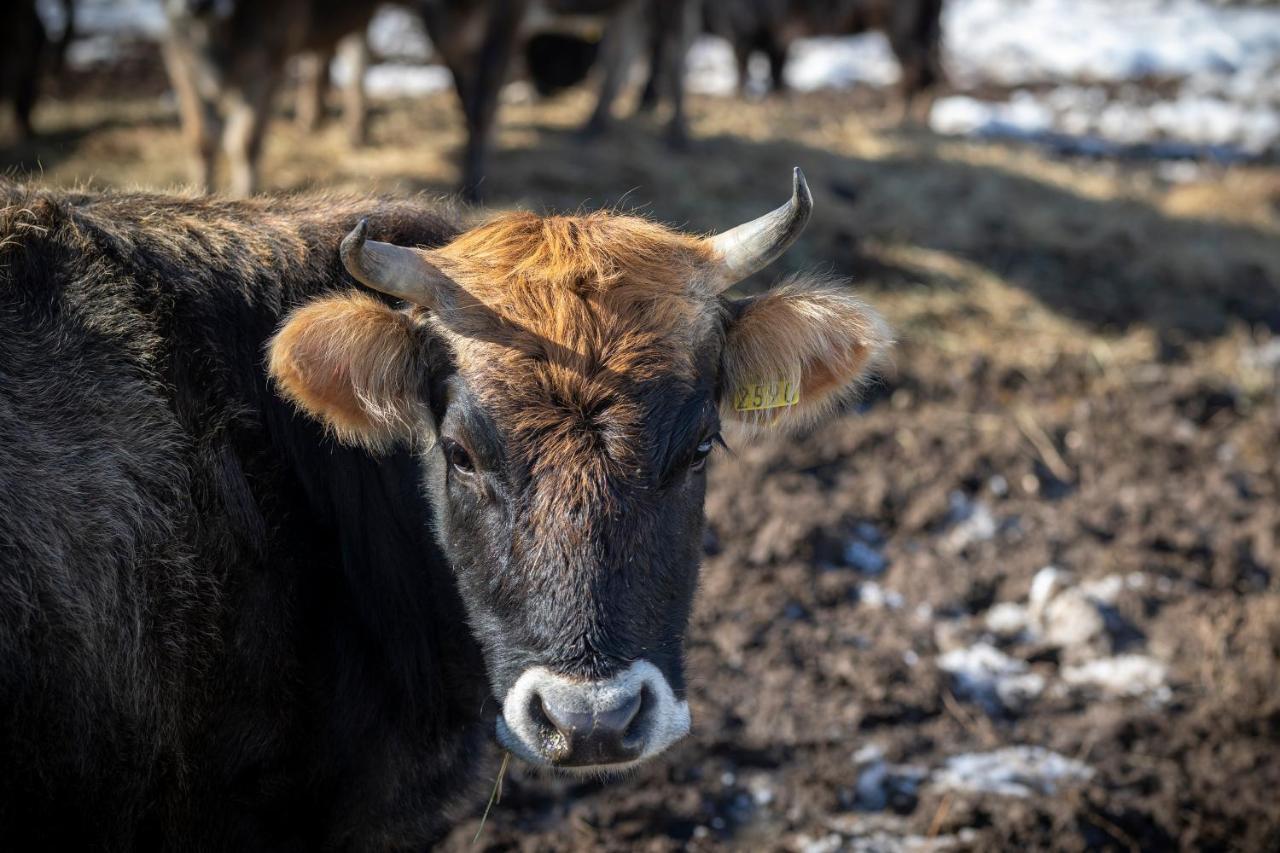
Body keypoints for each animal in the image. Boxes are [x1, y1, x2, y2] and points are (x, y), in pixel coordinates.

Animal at [162, 0, 378, 194]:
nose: (197, 6)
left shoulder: (268, 68)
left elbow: (245, 140)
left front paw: (245, 194)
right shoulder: (182, 65)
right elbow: (202, 138)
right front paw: (201, 192)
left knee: (355, 61)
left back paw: (356, 132)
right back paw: (314, 122)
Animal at [701, 0, 942, 108]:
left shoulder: (741, 30)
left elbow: (744, 64)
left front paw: (741, 98)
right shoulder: (774, 37)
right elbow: (777, 68)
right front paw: (778, 99)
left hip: (902, 27)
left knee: (917, 68)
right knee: (928, 68)